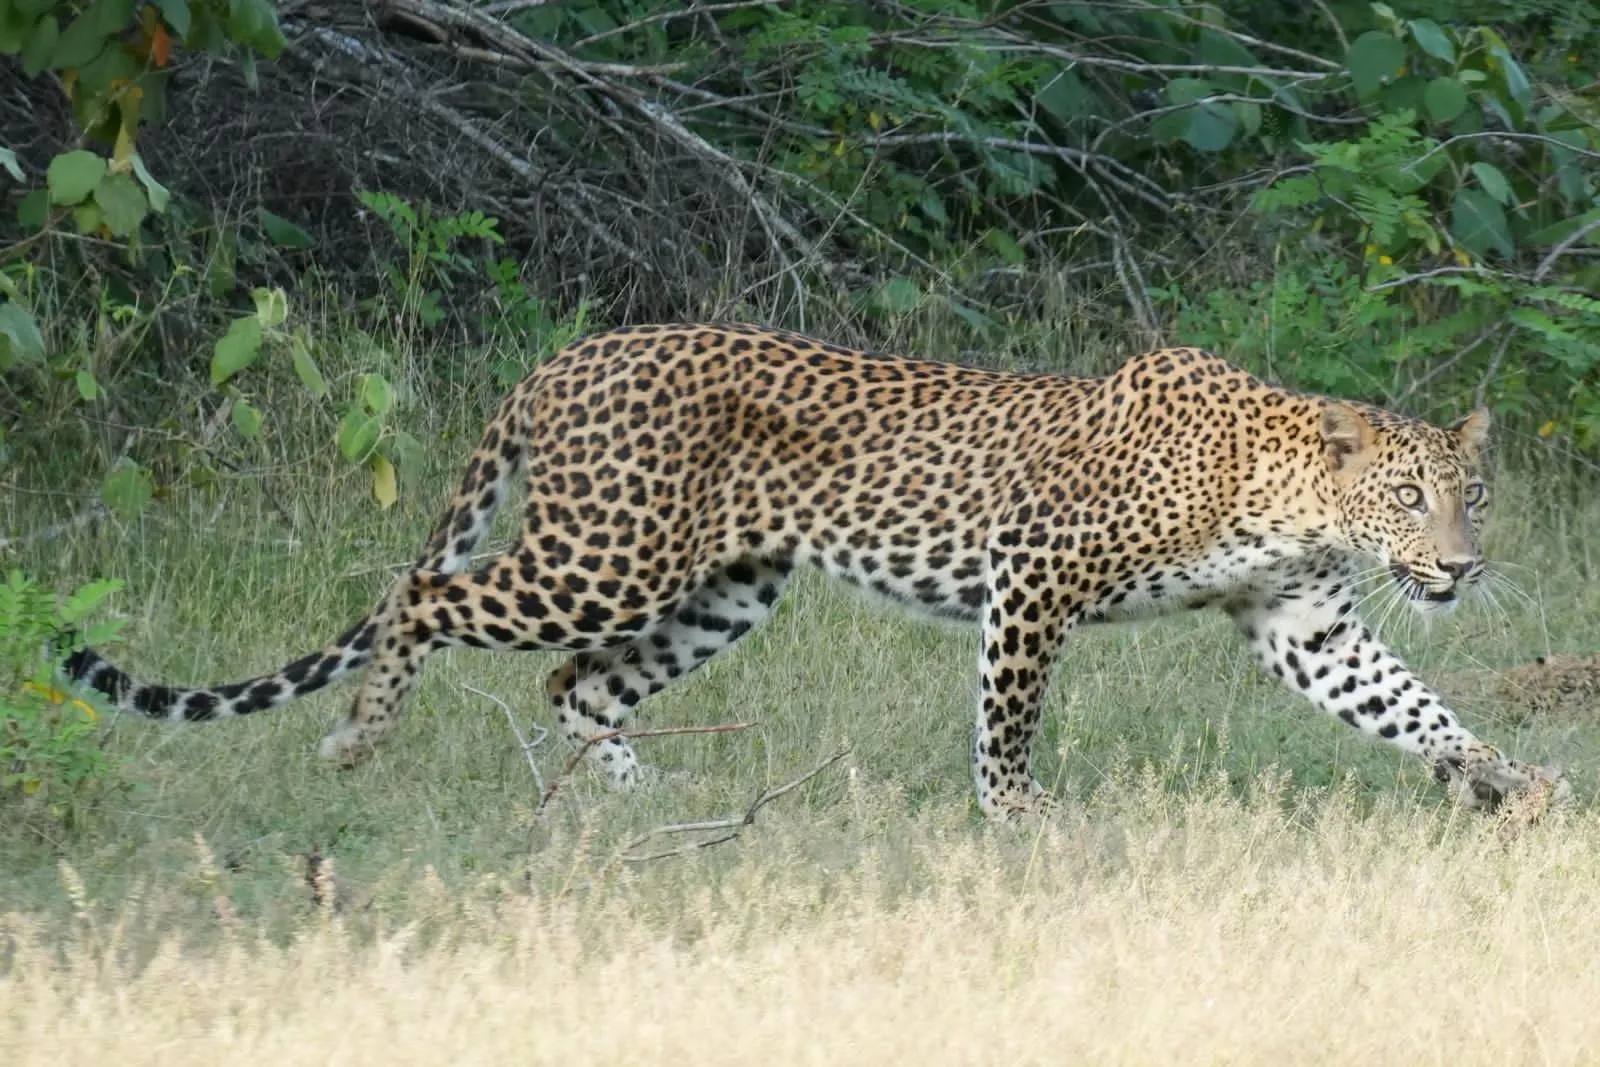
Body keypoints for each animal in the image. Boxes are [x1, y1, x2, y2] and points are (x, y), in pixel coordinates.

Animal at [61, 322, 1564, 819]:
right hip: (603, 553)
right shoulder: (1035, 574)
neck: (1296, 502)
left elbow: (1412, 703)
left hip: (725, 586)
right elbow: (1008, 712)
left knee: (575, 679)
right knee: (422, 597)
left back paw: (645, 799)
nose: (1457, 564)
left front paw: (1509, 778)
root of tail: (565, 354)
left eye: (1474, 492)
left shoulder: (1304, 623)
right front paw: (1014, 815)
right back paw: (360, 738)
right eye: (1409, 492)